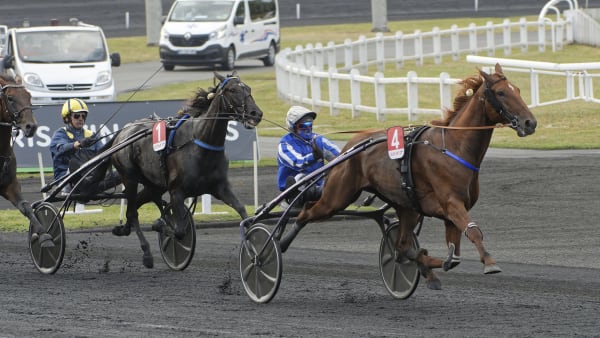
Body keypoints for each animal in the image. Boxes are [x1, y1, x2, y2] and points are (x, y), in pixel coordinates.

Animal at [105, 72, 262, 268]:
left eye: (248, 88)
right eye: (232, 90)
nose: (256, 113)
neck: (200, 142)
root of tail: (122, 132)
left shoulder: (220, 187)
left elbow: (242, 211)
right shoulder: (177, 192)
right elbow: (179, 230)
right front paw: (160, 224)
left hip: (154, 185)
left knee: (136, 206)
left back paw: (123, 229)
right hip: (130, 177)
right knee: (132, 211)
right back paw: (147, 253)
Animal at [282, 64, 540, 290]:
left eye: (518, 90)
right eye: (501, 92)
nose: (530, 122)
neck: (453, 148)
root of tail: (350, 146)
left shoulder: (450, 213)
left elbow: (454, 255)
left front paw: (435, 263)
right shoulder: (452, 204)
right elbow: (473, 231)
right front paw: (489, 262)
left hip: (407, 206)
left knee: (402, 245)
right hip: (338, 196)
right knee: (307, 212)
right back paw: (280, 243)